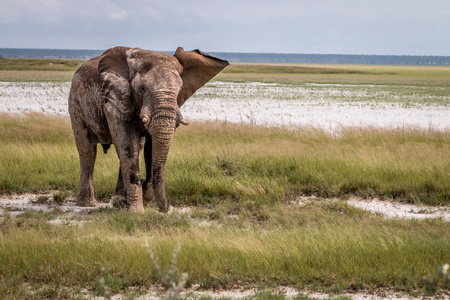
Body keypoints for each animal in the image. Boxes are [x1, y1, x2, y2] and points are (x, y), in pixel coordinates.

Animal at [68, 45, 230, 212]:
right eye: (142, 88)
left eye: (179, 90)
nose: (166, 208)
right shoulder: (115, 99)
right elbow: (127, 143)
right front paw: (137, 212)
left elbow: (149, 146)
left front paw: (144, 197)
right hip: (75, 103)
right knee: (88, 151)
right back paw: (88, 204)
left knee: (135, 148)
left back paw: (118, 202)